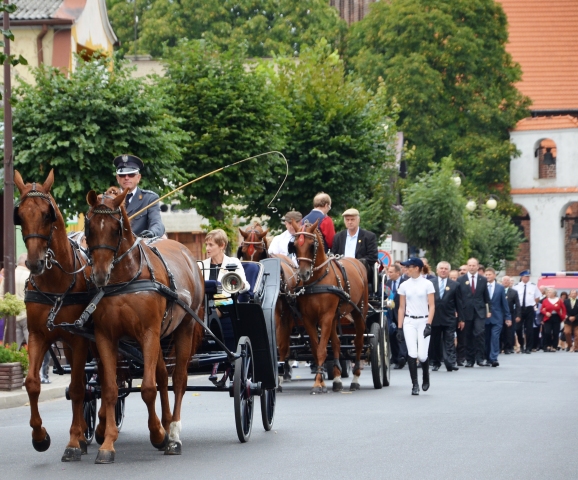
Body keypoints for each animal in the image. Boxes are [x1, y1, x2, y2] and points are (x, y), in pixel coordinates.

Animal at [13, 171, 91, 464]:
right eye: (20, 215)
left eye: (49, 215)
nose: (34, 263)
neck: (56, 284)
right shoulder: (38, 336)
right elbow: (32, 383)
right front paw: (39, 437)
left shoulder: (79, 341)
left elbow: (78, 388)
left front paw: (73, 441)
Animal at [84, 188, 202, 464]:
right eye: (89, 227)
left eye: (116, 229)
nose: (100, 275)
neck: (126, 279)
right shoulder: (105, 336)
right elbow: (110, 389)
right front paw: (107, 444)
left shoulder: (148, 333)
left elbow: (148, 388)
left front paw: (158, 435)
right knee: (162, 376)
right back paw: (167, 423)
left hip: (185, 327)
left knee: (178, 380)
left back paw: (173, 434)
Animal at [290, 220, 366, 394]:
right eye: (294, 246)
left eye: (312, 245)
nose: (303, 274)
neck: (316, 281)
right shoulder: (309, 319)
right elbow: (316, 348)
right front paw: (321, 381)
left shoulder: (325, 316)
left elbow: (322, 349)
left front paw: (318, 383)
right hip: (335, 317)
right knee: (337, 342)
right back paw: (337, 379)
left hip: (359, 312)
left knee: (358, 342)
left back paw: (356, 379)